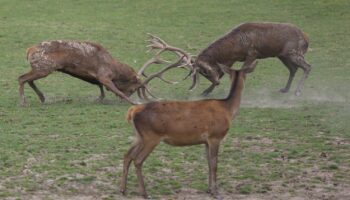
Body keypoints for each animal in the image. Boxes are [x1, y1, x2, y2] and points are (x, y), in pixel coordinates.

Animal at [18, 39, 186, 105]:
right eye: (133, 88)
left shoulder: (97, 78)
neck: (116, 71)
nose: (133, 94)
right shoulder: (104, 75)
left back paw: (42, 97)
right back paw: (24, 101)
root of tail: (29, 50)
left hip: (40, 68)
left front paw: (100, 98)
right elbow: (116, 90)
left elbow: (100, 87)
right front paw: (133, 102)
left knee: (28, 79)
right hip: (44, 67)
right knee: (21, 78)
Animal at [119, 60, 256, 199]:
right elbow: (214, 164)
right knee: (137, 160)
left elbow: (208, 163)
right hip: (151, 137)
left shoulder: (206, 141)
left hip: (138, 136)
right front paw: (216, 192)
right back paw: (144, 193)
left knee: (127, 155)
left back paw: (123, 190)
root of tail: (133, 111)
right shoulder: (215, 136)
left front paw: (209, 190)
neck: (228, 110)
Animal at [144, 22, 314, 96]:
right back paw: (285, 89)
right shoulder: (231, 59)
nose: (216, 83)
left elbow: (242, 71)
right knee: (293, 69)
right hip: (282, 55)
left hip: (294, 52)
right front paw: (206, 91)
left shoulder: (252, 53)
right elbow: (223, 73)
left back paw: (297, 91)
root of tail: (307, 37)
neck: (235, 47)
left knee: (308, 66)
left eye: (204, 71)